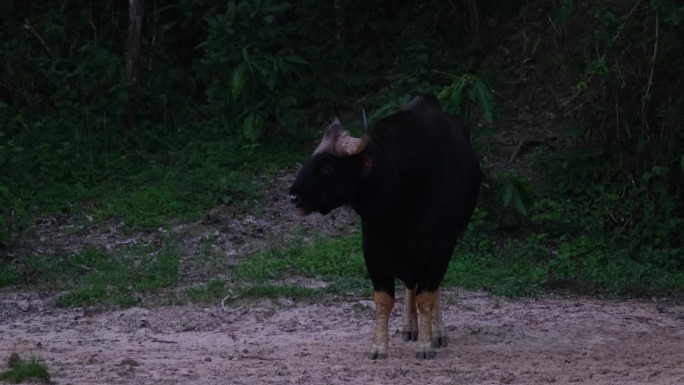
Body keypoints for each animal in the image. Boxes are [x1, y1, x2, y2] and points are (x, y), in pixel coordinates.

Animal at [288, 94, 480, 358]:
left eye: (328, 165)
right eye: (312, 157)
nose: (293, 196)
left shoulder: (441, 250)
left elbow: (427, 297)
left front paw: (426, 344)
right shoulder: (373, 251)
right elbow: (384, 299)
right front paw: (378, 346)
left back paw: (438, 331)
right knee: (410, 287)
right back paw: (410, 327)